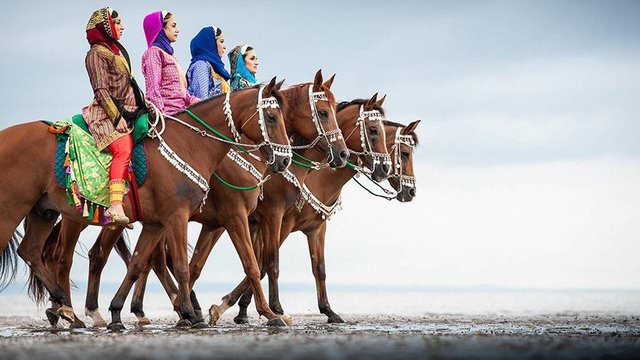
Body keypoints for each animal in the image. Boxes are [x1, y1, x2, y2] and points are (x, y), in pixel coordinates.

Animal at [214, 117, 420, 324]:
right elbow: (263, 264)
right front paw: (231, 306)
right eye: (405, 153)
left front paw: (328, 310)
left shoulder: (315, 228)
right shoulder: (277, 223)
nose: (411, 191)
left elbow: (318, 268)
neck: (317, 178)